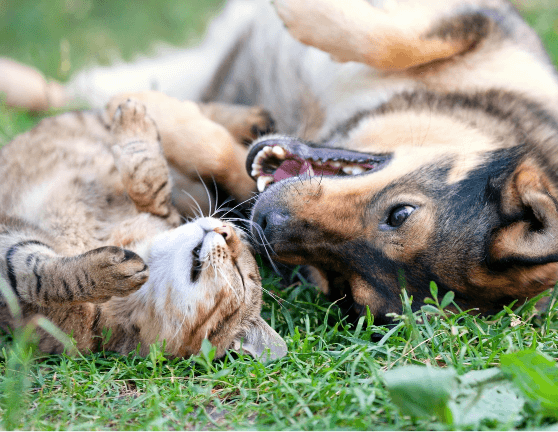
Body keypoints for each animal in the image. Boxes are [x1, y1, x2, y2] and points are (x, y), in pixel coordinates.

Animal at [4, 0, 558, 320]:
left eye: (343, 283)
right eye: (400, 213)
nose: (265, 225)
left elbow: (221, 157)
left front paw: (162, 116)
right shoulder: (484, 23)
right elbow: (399, 37)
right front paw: (300, 11)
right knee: (59, 87)